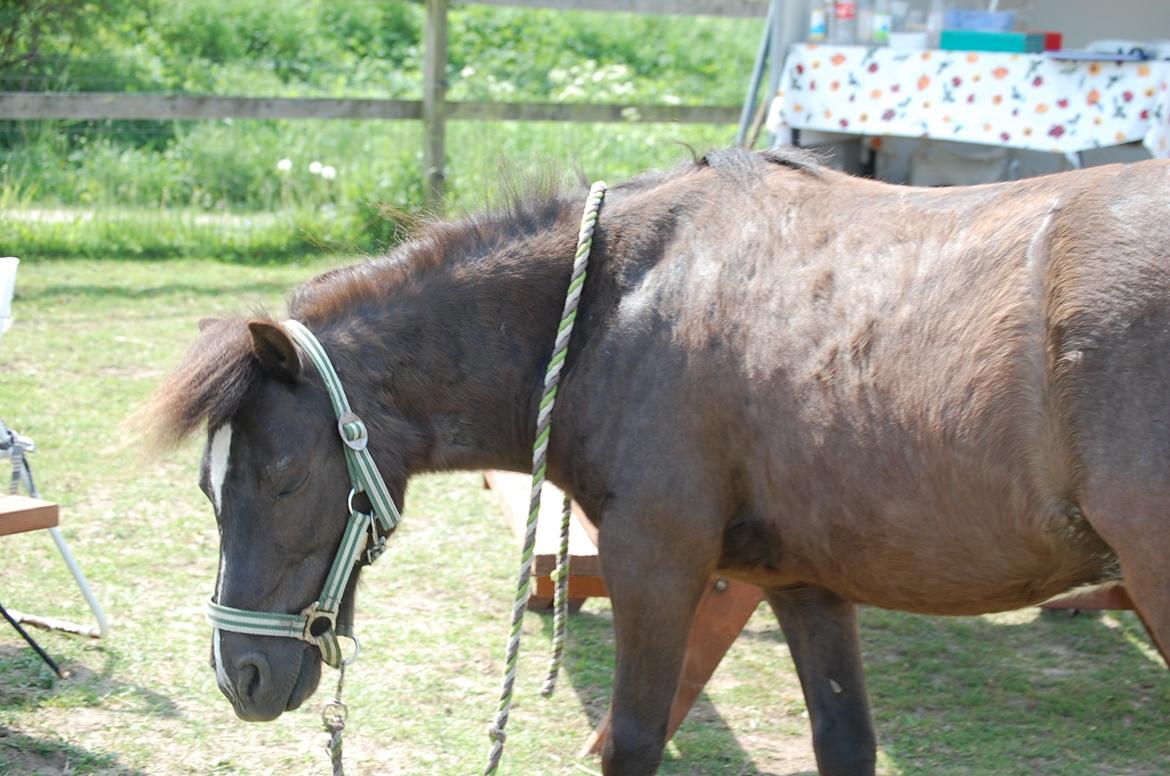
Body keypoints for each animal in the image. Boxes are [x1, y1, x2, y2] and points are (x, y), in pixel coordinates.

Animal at [146, 148, 1170, 775]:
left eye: (284, 477)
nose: (240, 675)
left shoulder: (656, 563)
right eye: (206, 487)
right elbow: (844, 741)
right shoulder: (805, 582)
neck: (620, 299)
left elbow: (632, 740)